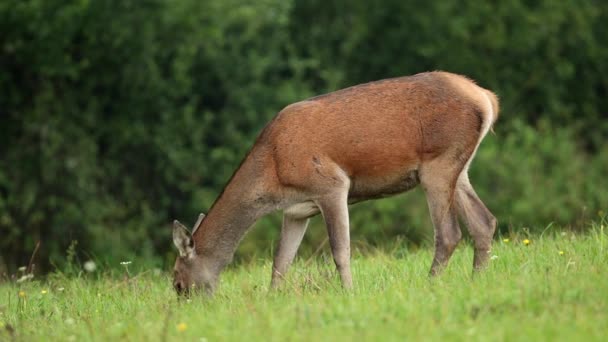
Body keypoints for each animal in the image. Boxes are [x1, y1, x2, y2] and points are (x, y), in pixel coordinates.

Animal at [171, 71, 498, 296]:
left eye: (176, 282)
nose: (187, 303)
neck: (272, 175)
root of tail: (486, 98)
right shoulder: (296, 210)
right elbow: (281, 261)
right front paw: (272, 299)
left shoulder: (331, 184)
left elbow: (340, 251)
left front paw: (349, 293)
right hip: (459, 168)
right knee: (484, 222)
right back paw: (476, 281)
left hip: (438, 163)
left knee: (449, 233)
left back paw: (429, 284)